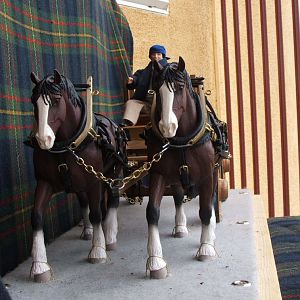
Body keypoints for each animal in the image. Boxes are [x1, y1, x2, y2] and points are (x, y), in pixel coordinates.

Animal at [28, 69, 126, 282]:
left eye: (56, 100)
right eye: (33, 100)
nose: (43, 139)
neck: (67, 145)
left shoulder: (94, 182)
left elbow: (96, 213)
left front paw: (98, 250)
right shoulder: (44, 182)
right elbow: (37, 216)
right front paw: (39, 265)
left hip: (113, 173)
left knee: (112, 199)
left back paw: (110, 235)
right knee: (84, 201)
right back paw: (89, 230)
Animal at [145, 56, 218, 278]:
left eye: (179, 88)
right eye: (156, 90)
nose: (167, 127)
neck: (182, 141)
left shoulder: (207, 175)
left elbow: (205, 209)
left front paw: (206, 247)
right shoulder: (158, 173)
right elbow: (152, 211)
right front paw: (155, 261)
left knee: (211, 199)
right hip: (175, 177)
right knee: (178, 196)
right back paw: (180, 226)